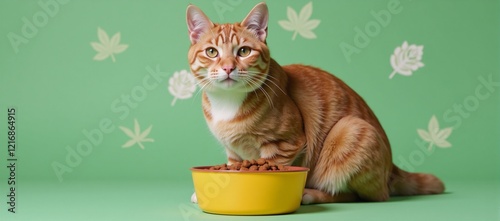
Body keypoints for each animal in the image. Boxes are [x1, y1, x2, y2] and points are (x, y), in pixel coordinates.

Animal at [186, 2, 444, 204]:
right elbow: (231, 170)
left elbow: (268, 166)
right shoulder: (233, 154)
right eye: (211, 52)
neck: (227, 103)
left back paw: (311, 194)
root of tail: (392, 168)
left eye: (243, 51)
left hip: (350, 129)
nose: (228, 68)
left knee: (360, 195)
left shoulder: (284, 145)